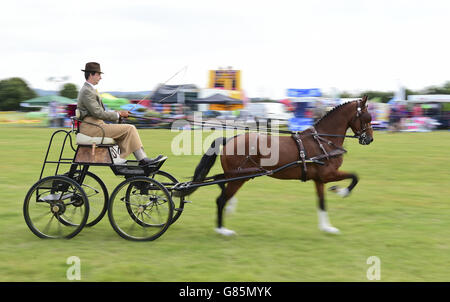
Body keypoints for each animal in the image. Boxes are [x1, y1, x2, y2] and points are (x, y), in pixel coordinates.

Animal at [185, 96, 372, 236]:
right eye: (367, 118)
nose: (369, 139)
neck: (323, 140)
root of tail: (230, 139)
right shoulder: (329, 175)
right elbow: (355, 177)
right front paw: (341, 191)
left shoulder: (319, 180)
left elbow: (322, 203)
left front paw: (327, 227)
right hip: (238, 177)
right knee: (221, 199)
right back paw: (222, 229)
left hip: (235, 175)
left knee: (220, 184)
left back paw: (229, 209)